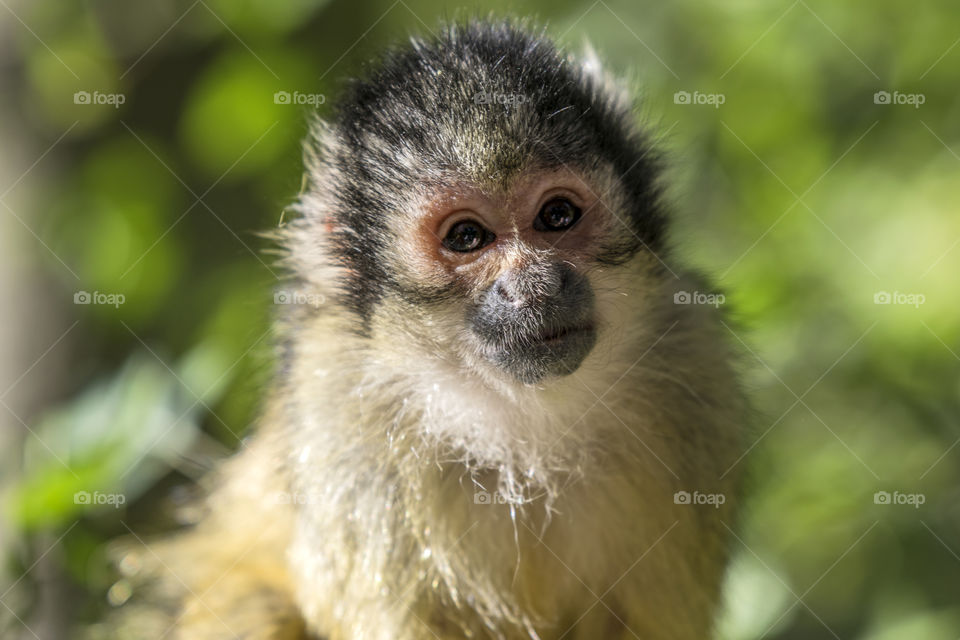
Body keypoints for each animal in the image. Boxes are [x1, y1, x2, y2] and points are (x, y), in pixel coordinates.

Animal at [92, 18, 746, 640]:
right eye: (467, 237)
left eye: (557, 216)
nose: (533, 286)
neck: (519, 426)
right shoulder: (339, 407)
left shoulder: (693, 365)